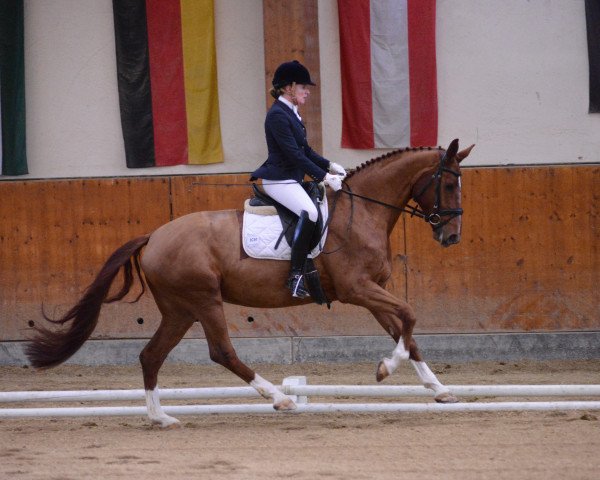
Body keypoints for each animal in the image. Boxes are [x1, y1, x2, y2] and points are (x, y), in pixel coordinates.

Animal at [24, 138, 474, 428]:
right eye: (449, 183)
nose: (452, 237)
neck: (362, 212)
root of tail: (153, 236)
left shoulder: (373, 291)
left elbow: (407, 334)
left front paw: (439, 390)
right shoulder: (358, 290)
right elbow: (409, 316)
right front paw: (384, 369)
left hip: (179, 310)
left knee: (151, 356)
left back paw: (160, 417)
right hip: (204, 301)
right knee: (221, 352)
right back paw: (280, 399)